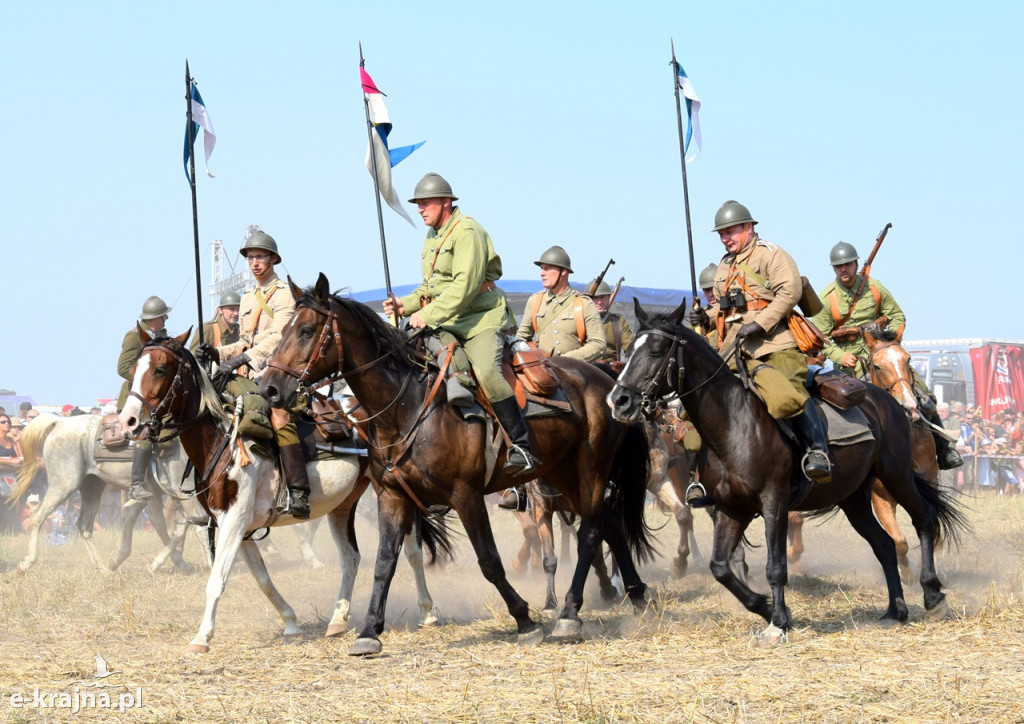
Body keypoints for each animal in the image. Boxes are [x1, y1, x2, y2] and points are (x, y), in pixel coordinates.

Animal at [6, 413, 194, 577]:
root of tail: (60, 422)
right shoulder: (173, 492)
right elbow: (173, 524)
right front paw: (161, 563)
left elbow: (180, 525)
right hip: (63, 486)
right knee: (37, 517)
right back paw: (25, 564)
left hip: (92, 487)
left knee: (84, 525)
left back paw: (102, 568)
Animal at [117, 333, 442, 655]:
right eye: (133, 370)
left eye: (160, 370)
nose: (128, 423)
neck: (222, 439)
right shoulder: (240, 528)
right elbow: (263, 580)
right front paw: (291, 624)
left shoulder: (234, 521)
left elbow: (217, 579)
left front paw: (202, 637)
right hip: (342, 506)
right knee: (350, 557)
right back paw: (338, 620)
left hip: (393, 494)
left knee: (412, 552)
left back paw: (428, 612)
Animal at [260, 272, 651, 655]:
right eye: (284, 330)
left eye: (306, 330)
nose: (269, 389)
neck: (408, 407)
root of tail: (605, 379)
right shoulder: (391, 496)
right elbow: (384, 563)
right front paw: (369, 632)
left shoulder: (467, 495)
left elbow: (489, 561)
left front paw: (525, 621)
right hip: (562, 472)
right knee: (610, 525)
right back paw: (637, 595)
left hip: (591, 468)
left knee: (590, 533)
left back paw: (570, 614)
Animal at [606, 301, 966, 639]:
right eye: (630, 349)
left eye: (656, 350)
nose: (619, 400)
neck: (734, 422)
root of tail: (893, 405)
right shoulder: (731, 509)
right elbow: (720, 567)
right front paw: (764, 607)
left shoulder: (774, 503)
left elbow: (776, 566)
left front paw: (778, 622)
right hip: (854, 499)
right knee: (885, 545)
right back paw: (896, 609)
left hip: (897, 476)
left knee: (924, 519)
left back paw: (934, 596)